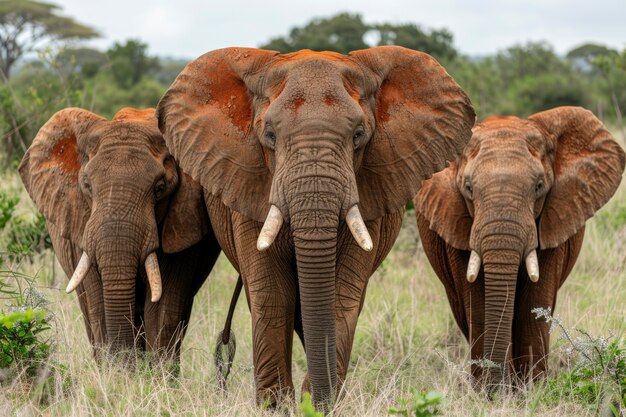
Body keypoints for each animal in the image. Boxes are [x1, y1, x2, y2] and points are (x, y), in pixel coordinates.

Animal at [19, 108, 221, 364]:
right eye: (87, 186)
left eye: (160, 188)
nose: (126, 360)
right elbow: (99, 303)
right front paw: (117, 370)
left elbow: (162, 310)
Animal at [157, 46, 472, 410]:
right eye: (270, 135)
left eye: (358, 136)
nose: (313, 400)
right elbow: (271, 294)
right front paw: (277, 408)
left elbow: (342, 298)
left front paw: (320, 405)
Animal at [412, 105, 620, 388]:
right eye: (468, 188)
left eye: (539, 186)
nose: (497, 385)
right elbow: (478, 303)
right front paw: (491, 391)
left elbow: (534, 302)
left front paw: (533, 389)